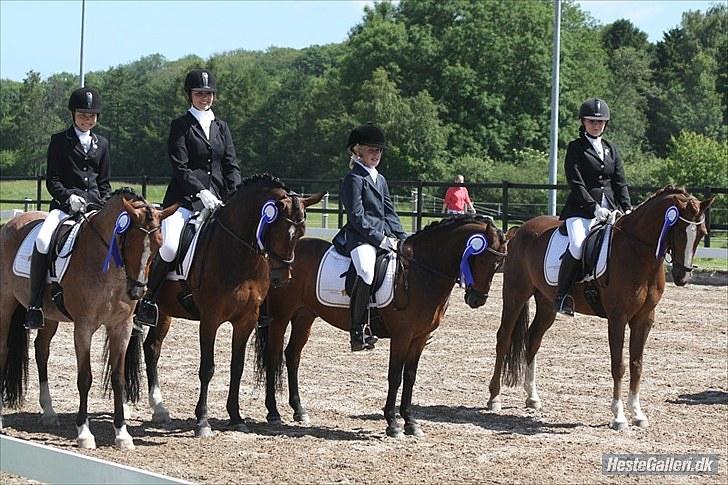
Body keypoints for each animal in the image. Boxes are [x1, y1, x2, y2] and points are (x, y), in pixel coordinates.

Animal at [0, 187, 175, 448]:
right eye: (131, 242)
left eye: (158, 245)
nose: (137, 292)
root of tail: (10, 224)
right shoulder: (83, 327)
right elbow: (85, 378)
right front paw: (84, 433)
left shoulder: (121, 327)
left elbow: (118, 378)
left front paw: (122, 434)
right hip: (4, 305)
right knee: (3, 350)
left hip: (48, 316)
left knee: (41, 350)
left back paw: (49, 412)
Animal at [136, 172, 324, 436]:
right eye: (275, 229)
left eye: (300, 233)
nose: (281, 279)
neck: (237, 252)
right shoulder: (210, 318)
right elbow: (207, 368)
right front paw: (202, 421)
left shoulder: (246, 319)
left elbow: (237, 367)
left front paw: (235, 416)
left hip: (163, 311)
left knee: (152, 348)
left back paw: (160, 408)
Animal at [256, 214, 512, 436]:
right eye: (481, 258)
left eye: (499, 262)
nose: (477, 299)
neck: (421, 272)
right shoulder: (402, 336)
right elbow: (395, 376)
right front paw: (393, 423)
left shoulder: (420, 338)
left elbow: (410, 377)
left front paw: (411, 422)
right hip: (280, 317)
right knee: (274, 357)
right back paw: (273, 412)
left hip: (305, 316)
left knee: (292, 356)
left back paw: (299, 411)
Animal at [486, 184, 712, 428]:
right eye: (678, 230)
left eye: (702, 234)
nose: (682, 277)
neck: (636, 250)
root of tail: (521, 229)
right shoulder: (618, 317)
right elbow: (619, 365)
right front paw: (619, 417)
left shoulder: (645, 318)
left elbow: (637, 364)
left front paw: (638, 414)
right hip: (515, 294)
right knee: (504, 337)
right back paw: (494, 398)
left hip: (547, 303)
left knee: (533, 338)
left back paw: (533, 398)